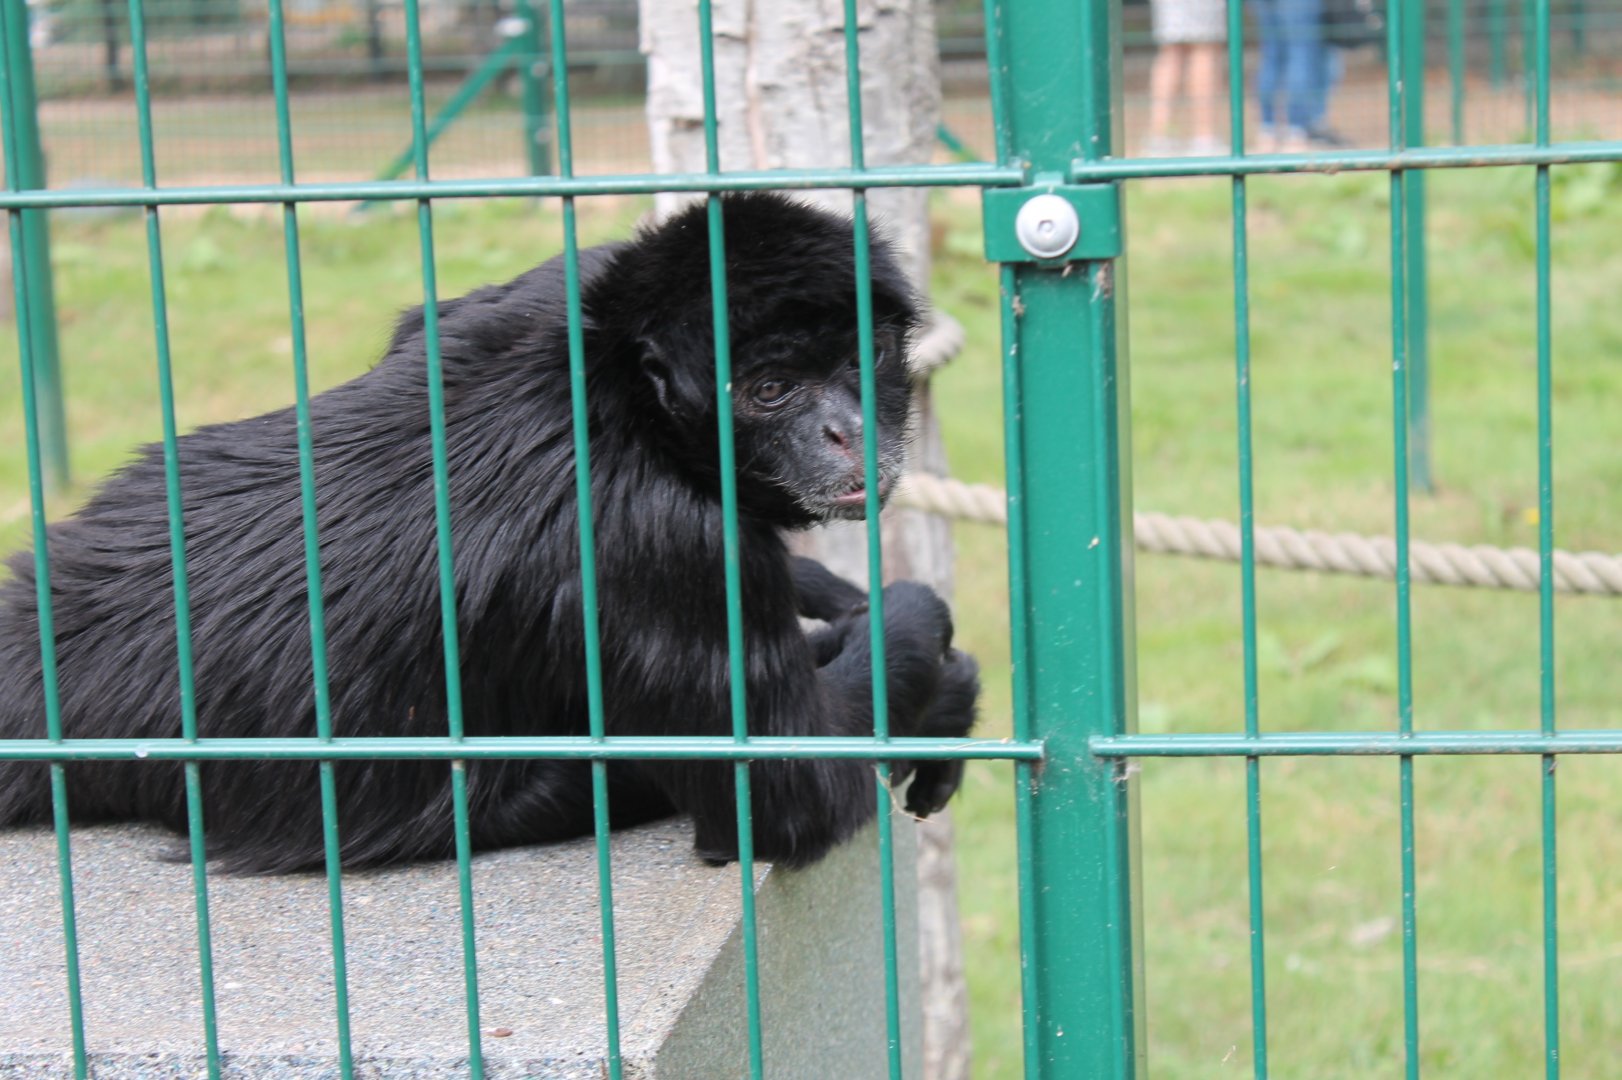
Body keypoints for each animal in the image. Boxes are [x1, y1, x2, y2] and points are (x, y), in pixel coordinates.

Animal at [0, 192, 979, 874]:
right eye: (773, 390)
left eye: (860, 358)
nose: (846, 429)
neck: (612, 394)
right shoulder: (663, 548)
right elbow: (790, 798)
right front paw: (921, 640)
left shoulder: (557, 283)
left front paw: (836, 600)